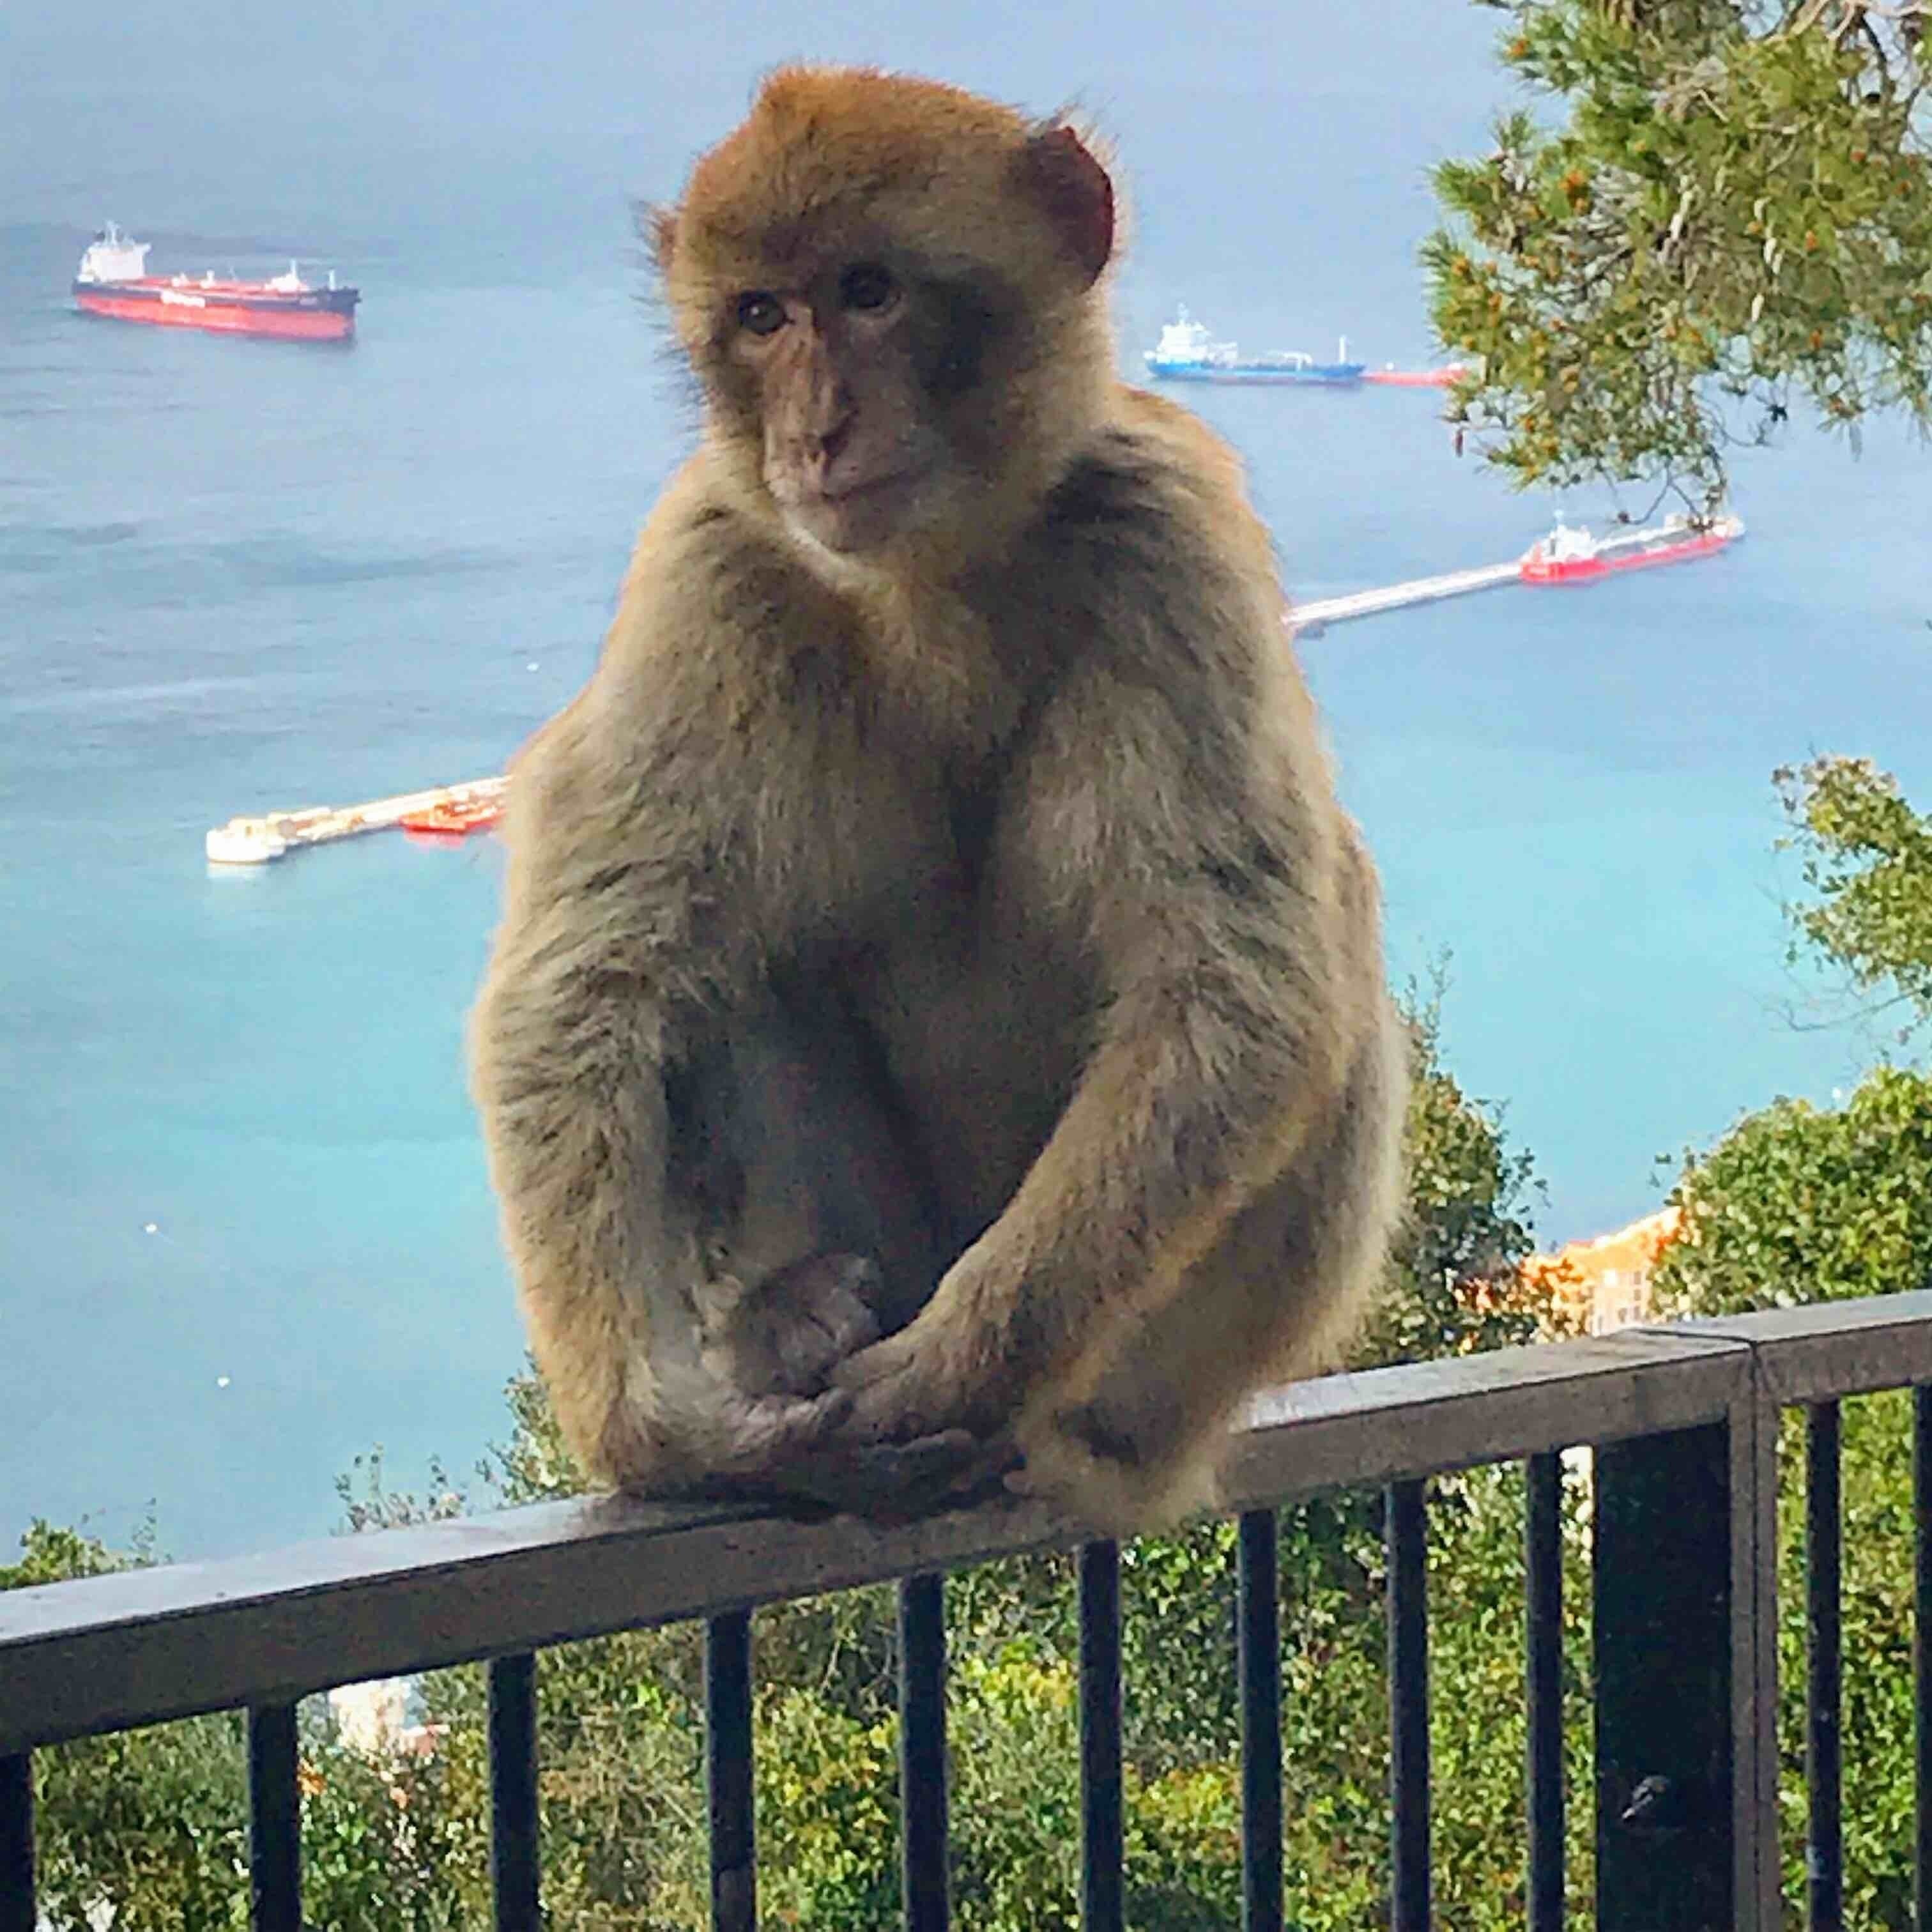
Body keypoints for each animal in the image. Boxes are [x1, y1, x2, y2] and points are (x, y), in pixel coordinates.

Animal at [468, 65, 1407, 1533]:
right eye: (761, 315)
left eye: (868, 292)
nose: (814, 429)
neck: (930, 578)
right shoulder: (707, 564)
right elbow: (591, 983)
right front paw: (674, 1439)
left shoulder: (1167, 532)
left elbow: (1234, 985)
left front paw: (950, 1371)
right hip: (890, 1230)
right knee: (726, 963)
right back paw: (788, 1319)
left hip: (1170, 1359)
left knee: (1331, 933)